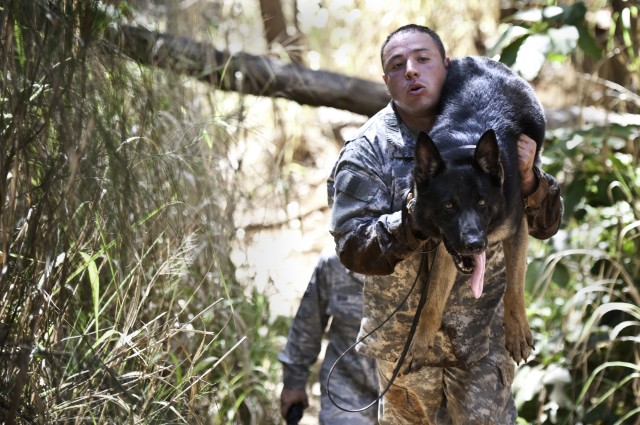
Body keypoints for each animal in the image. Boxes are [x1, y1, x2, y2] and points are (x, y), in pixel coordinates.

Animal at [402, 55, 544, 372]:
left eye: (482, 203)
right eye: (449, 206)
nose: (476, 245)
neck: (462, 150)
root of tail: (480, 59)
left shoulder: (517, 228)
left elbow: (514, 287)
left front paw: (517, 331)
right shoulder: (447, 246)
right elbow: (432, 302)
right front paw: (420, 343)